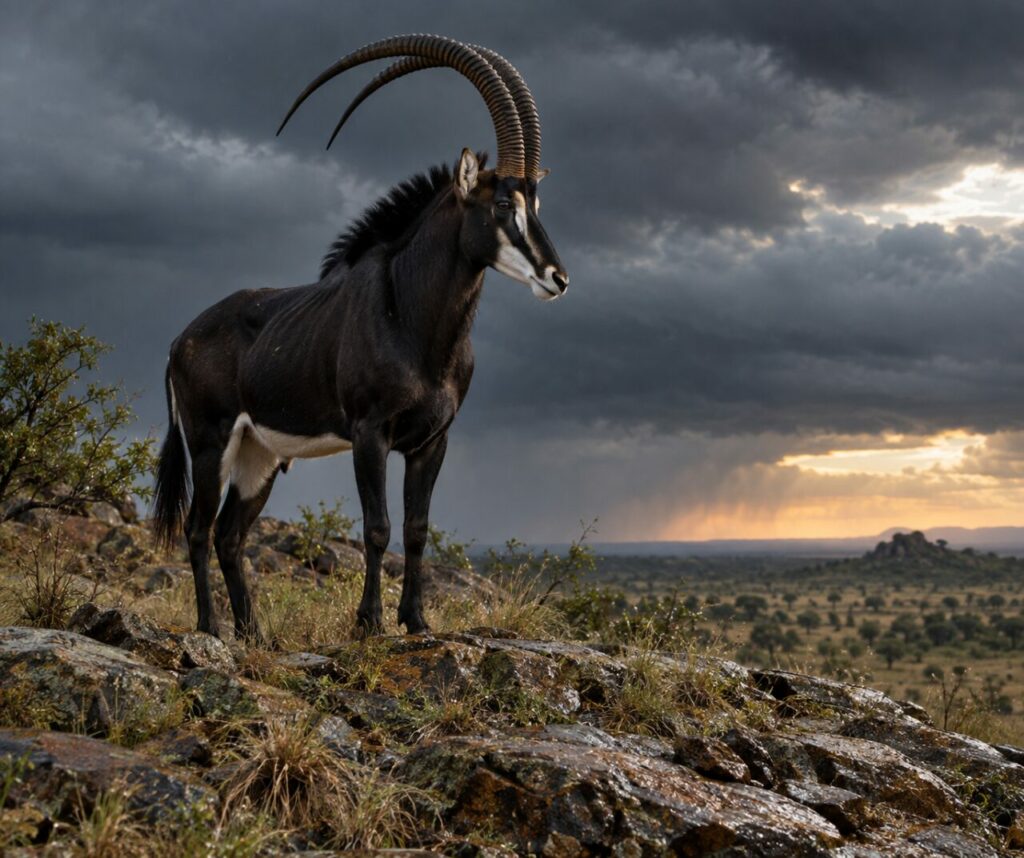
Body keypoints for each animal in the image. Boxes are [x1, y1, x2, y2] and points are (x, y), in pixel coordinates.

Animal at [152, 35, 568, 642]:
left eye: (535, 204)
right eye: (500, 204)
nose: (556, 278)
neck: (414, 322)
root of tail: (180, 340)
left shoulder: (431, 441)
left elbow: (416, 528)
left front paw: (415, 620)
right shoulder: (370, 434)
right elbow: (378, 527)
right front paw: (369, 623)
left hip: (259, 456)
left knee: (231, 535)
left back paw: (254, 634)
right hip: (211, 444)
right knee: (198, 531)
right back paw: (211, 629)